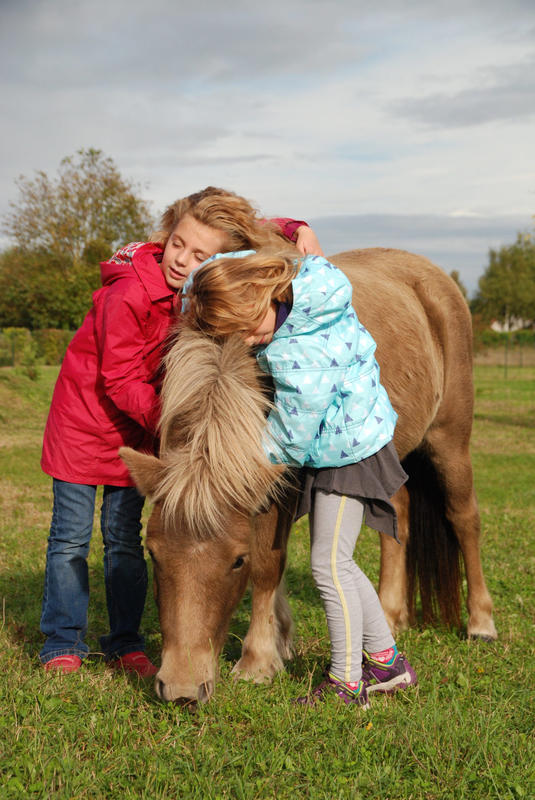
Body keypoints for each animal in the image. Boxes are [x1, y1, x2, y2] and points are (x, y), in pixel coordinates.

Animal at [120, 247, 497, 707]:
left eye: (237, 561)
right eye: (153, 553)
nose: (181, 690)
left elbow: (269, 564)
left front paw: (258, 661)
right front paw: (281, 640)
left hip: (450, 441)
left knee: (464, 519)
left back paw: (481, 623)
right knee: (398, 522)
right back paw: (390, 615)